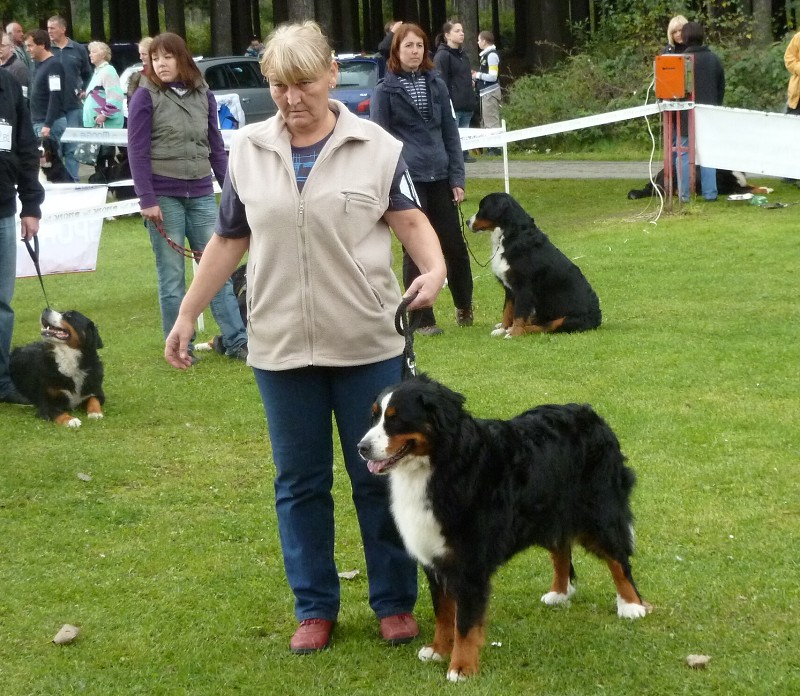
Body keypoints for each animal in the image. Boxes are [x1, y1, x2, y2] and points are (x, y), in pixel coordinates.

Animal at [360, 376, 648, 680]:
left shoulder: (471, 562)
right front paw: (438, 650)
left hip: (598, 511)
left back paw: (632, 605)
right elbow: (444, 612)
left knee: (618, 559)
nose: (361, 447)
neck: (442, 464)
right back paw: (559, 593)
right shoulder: (435, 557)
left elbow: (465, 623)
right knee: (561, 548)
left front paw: (461, 667)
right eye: (375, 416)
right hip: (549, 509)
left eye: (396, 419)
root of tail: (592, 415)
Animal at [468, 193, 600, 340]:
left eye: (482, 208)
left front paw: (514, 333)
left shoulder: (524, 287)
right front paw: (502, 328)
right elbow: (507, 311)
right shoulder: (510, 288)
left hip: (566, 319)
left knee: (544, 326)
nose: (467, 221)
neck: (510, 235)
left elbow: (518, 314)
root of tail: (598, 318)